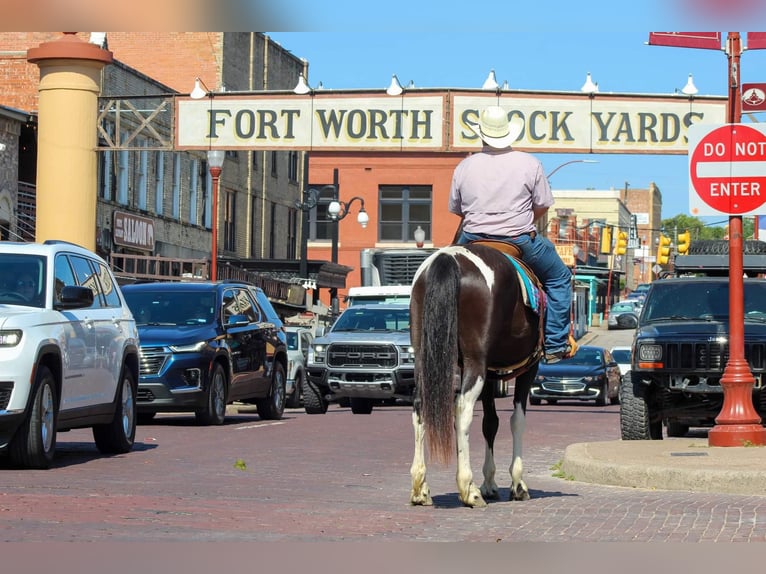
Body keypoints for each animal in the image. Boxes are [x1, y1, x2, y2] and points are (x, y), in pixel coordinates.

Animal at [408, 242, 544, 508]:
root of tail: (449, 257)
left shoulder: (491, 375)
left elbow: (490, 423)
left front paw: (490, 483)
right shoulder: (528, 368)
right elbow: (517, 420)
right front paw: (517, 484)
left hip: (423, 354)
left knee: (420, 407)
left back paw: (420, 488)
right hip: (475, 362)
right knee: (462, 410)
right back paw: (468, 489)